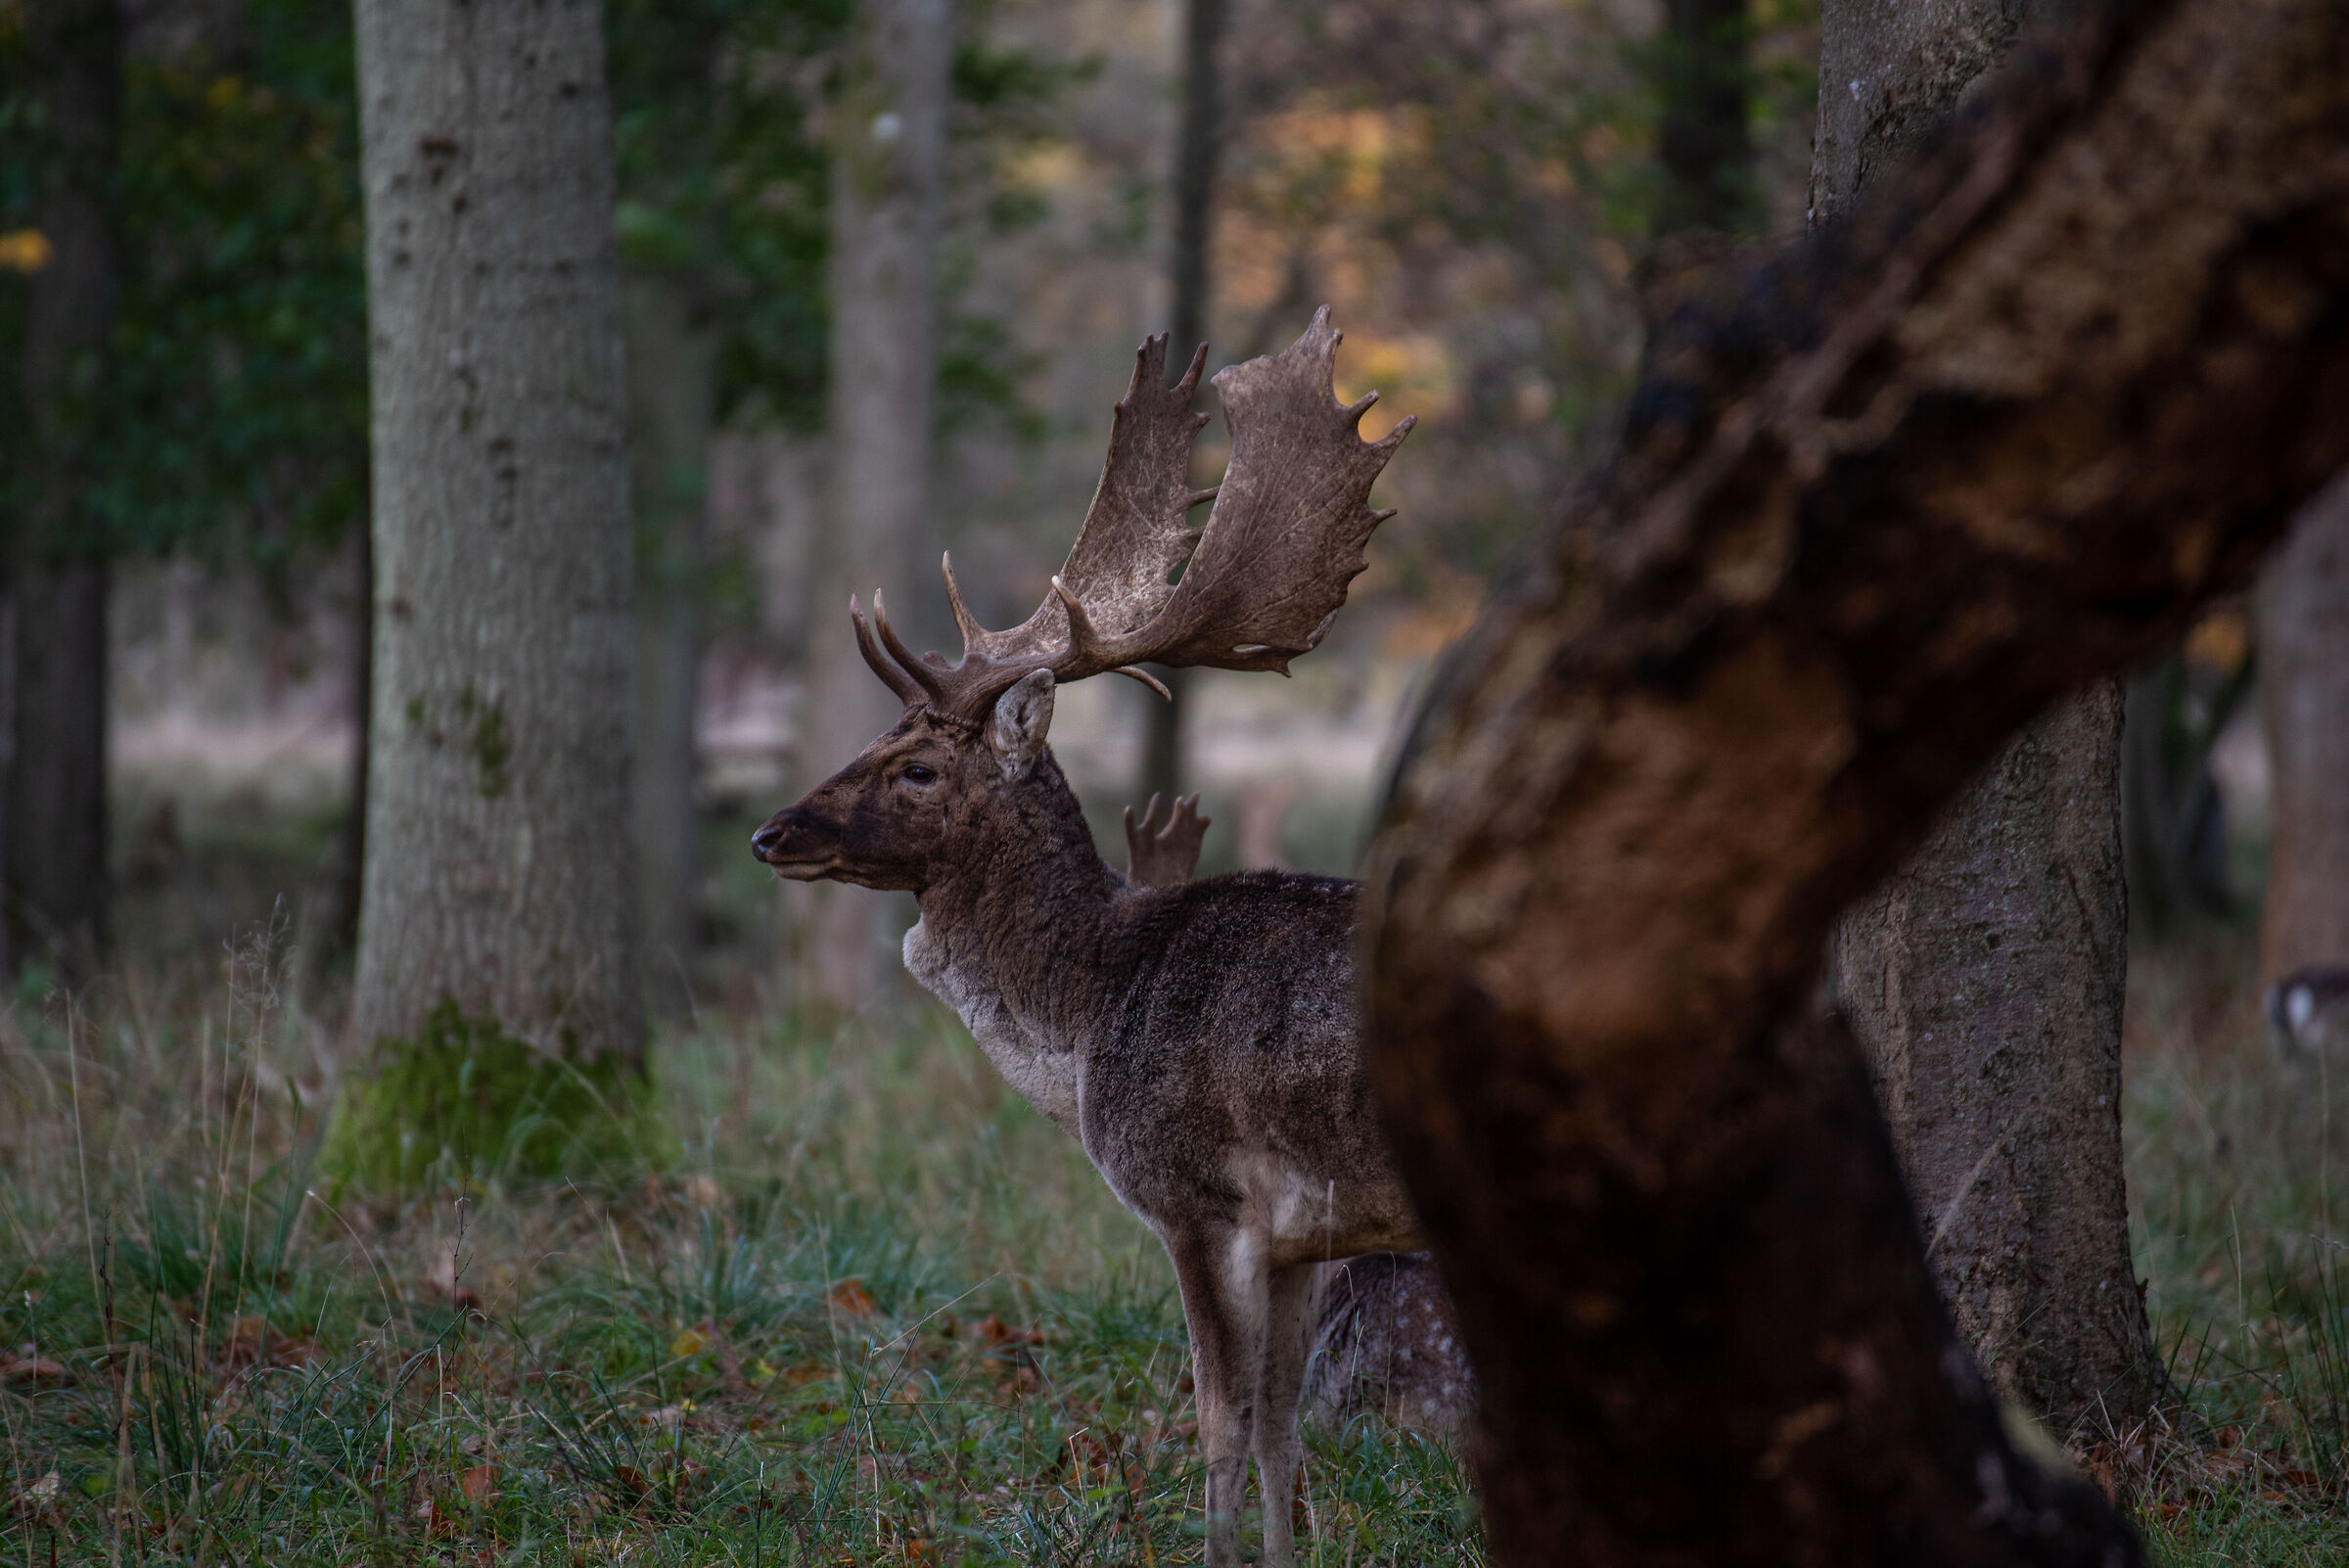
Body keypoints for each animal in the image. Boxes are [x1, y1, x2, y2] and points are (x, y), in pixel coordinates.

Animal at [752, 310, 1420, 1567]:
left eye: (919, 769)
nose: (771, 832)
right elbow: (1284, 1433)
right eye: (875, 739)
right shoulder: (1304, 1236)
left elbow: (1221, 1421)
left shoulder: (1201, 1196)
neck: (1092, 1009)